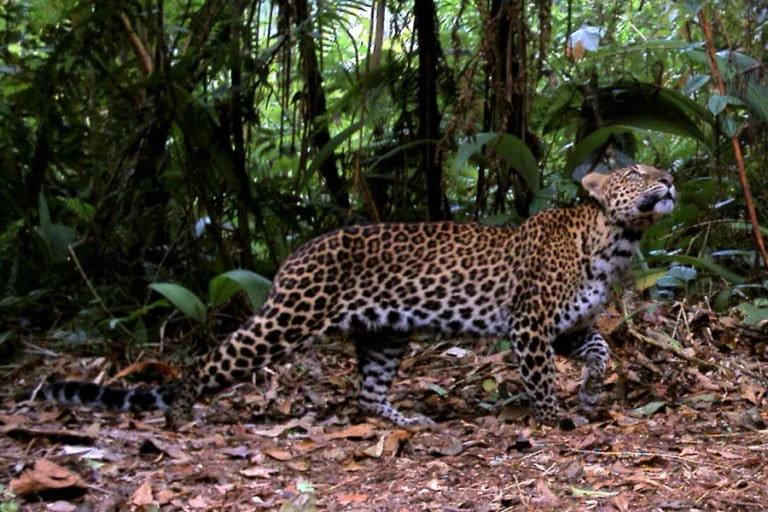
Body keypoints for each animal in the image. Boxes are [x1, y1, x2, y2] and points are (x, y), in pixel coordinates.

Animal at [43, 164, 675, 428]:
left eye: (658, 169)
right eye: (637, 172)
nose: (670, 179)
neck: (616, 242)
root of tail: (296, 253)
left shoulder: (563, 328)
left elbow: (599, 350)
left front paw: (590, 389)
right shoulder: (529, 325)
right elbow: (541, 378)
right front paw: (551, 420)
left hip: (384, 333)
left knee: (368, 392)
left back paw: (406, 421)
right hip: (285, 320)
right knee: (212, 361)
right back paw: (177, 410)